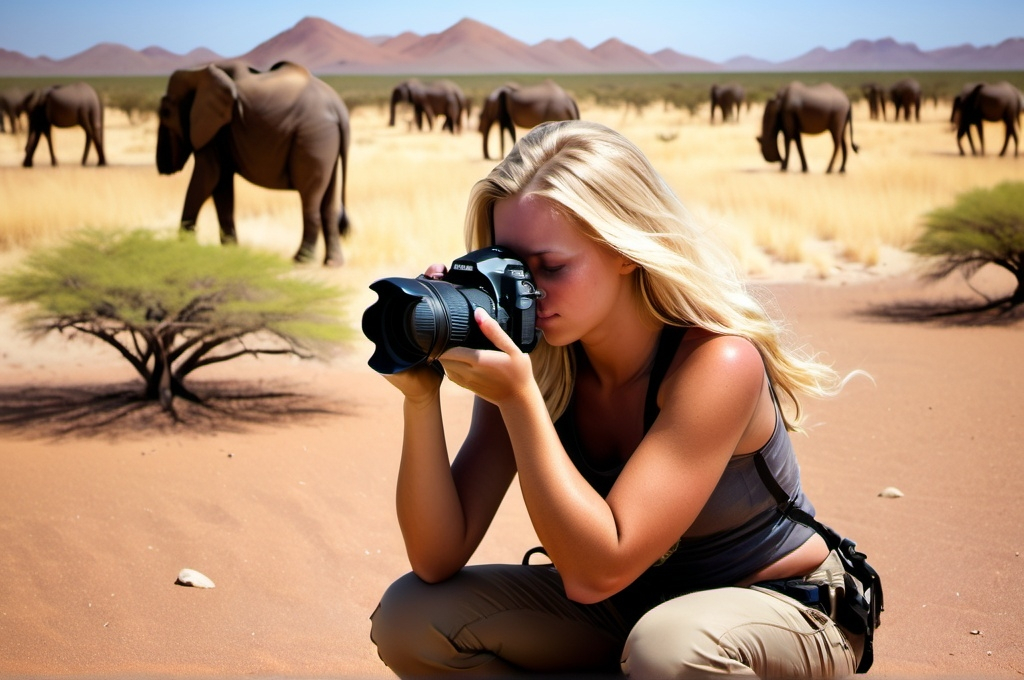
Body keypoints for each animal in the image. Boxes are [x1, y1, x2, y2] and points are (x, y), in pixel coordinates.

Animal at [156, 60, 352, 266]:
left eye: (165, 113)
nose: (164, 168)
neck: (197, 72)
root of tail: (339, 109)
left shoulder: (215, 129)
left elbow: (208, 177)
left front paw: (182, 248)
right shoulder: (223, 132)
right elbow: (222, 183)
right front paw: (231, 251)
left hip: (313, 139)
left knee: (310, 200)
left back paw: (300, 261)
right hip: (326, 143)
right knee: (328, 204)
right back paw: (332, 263)